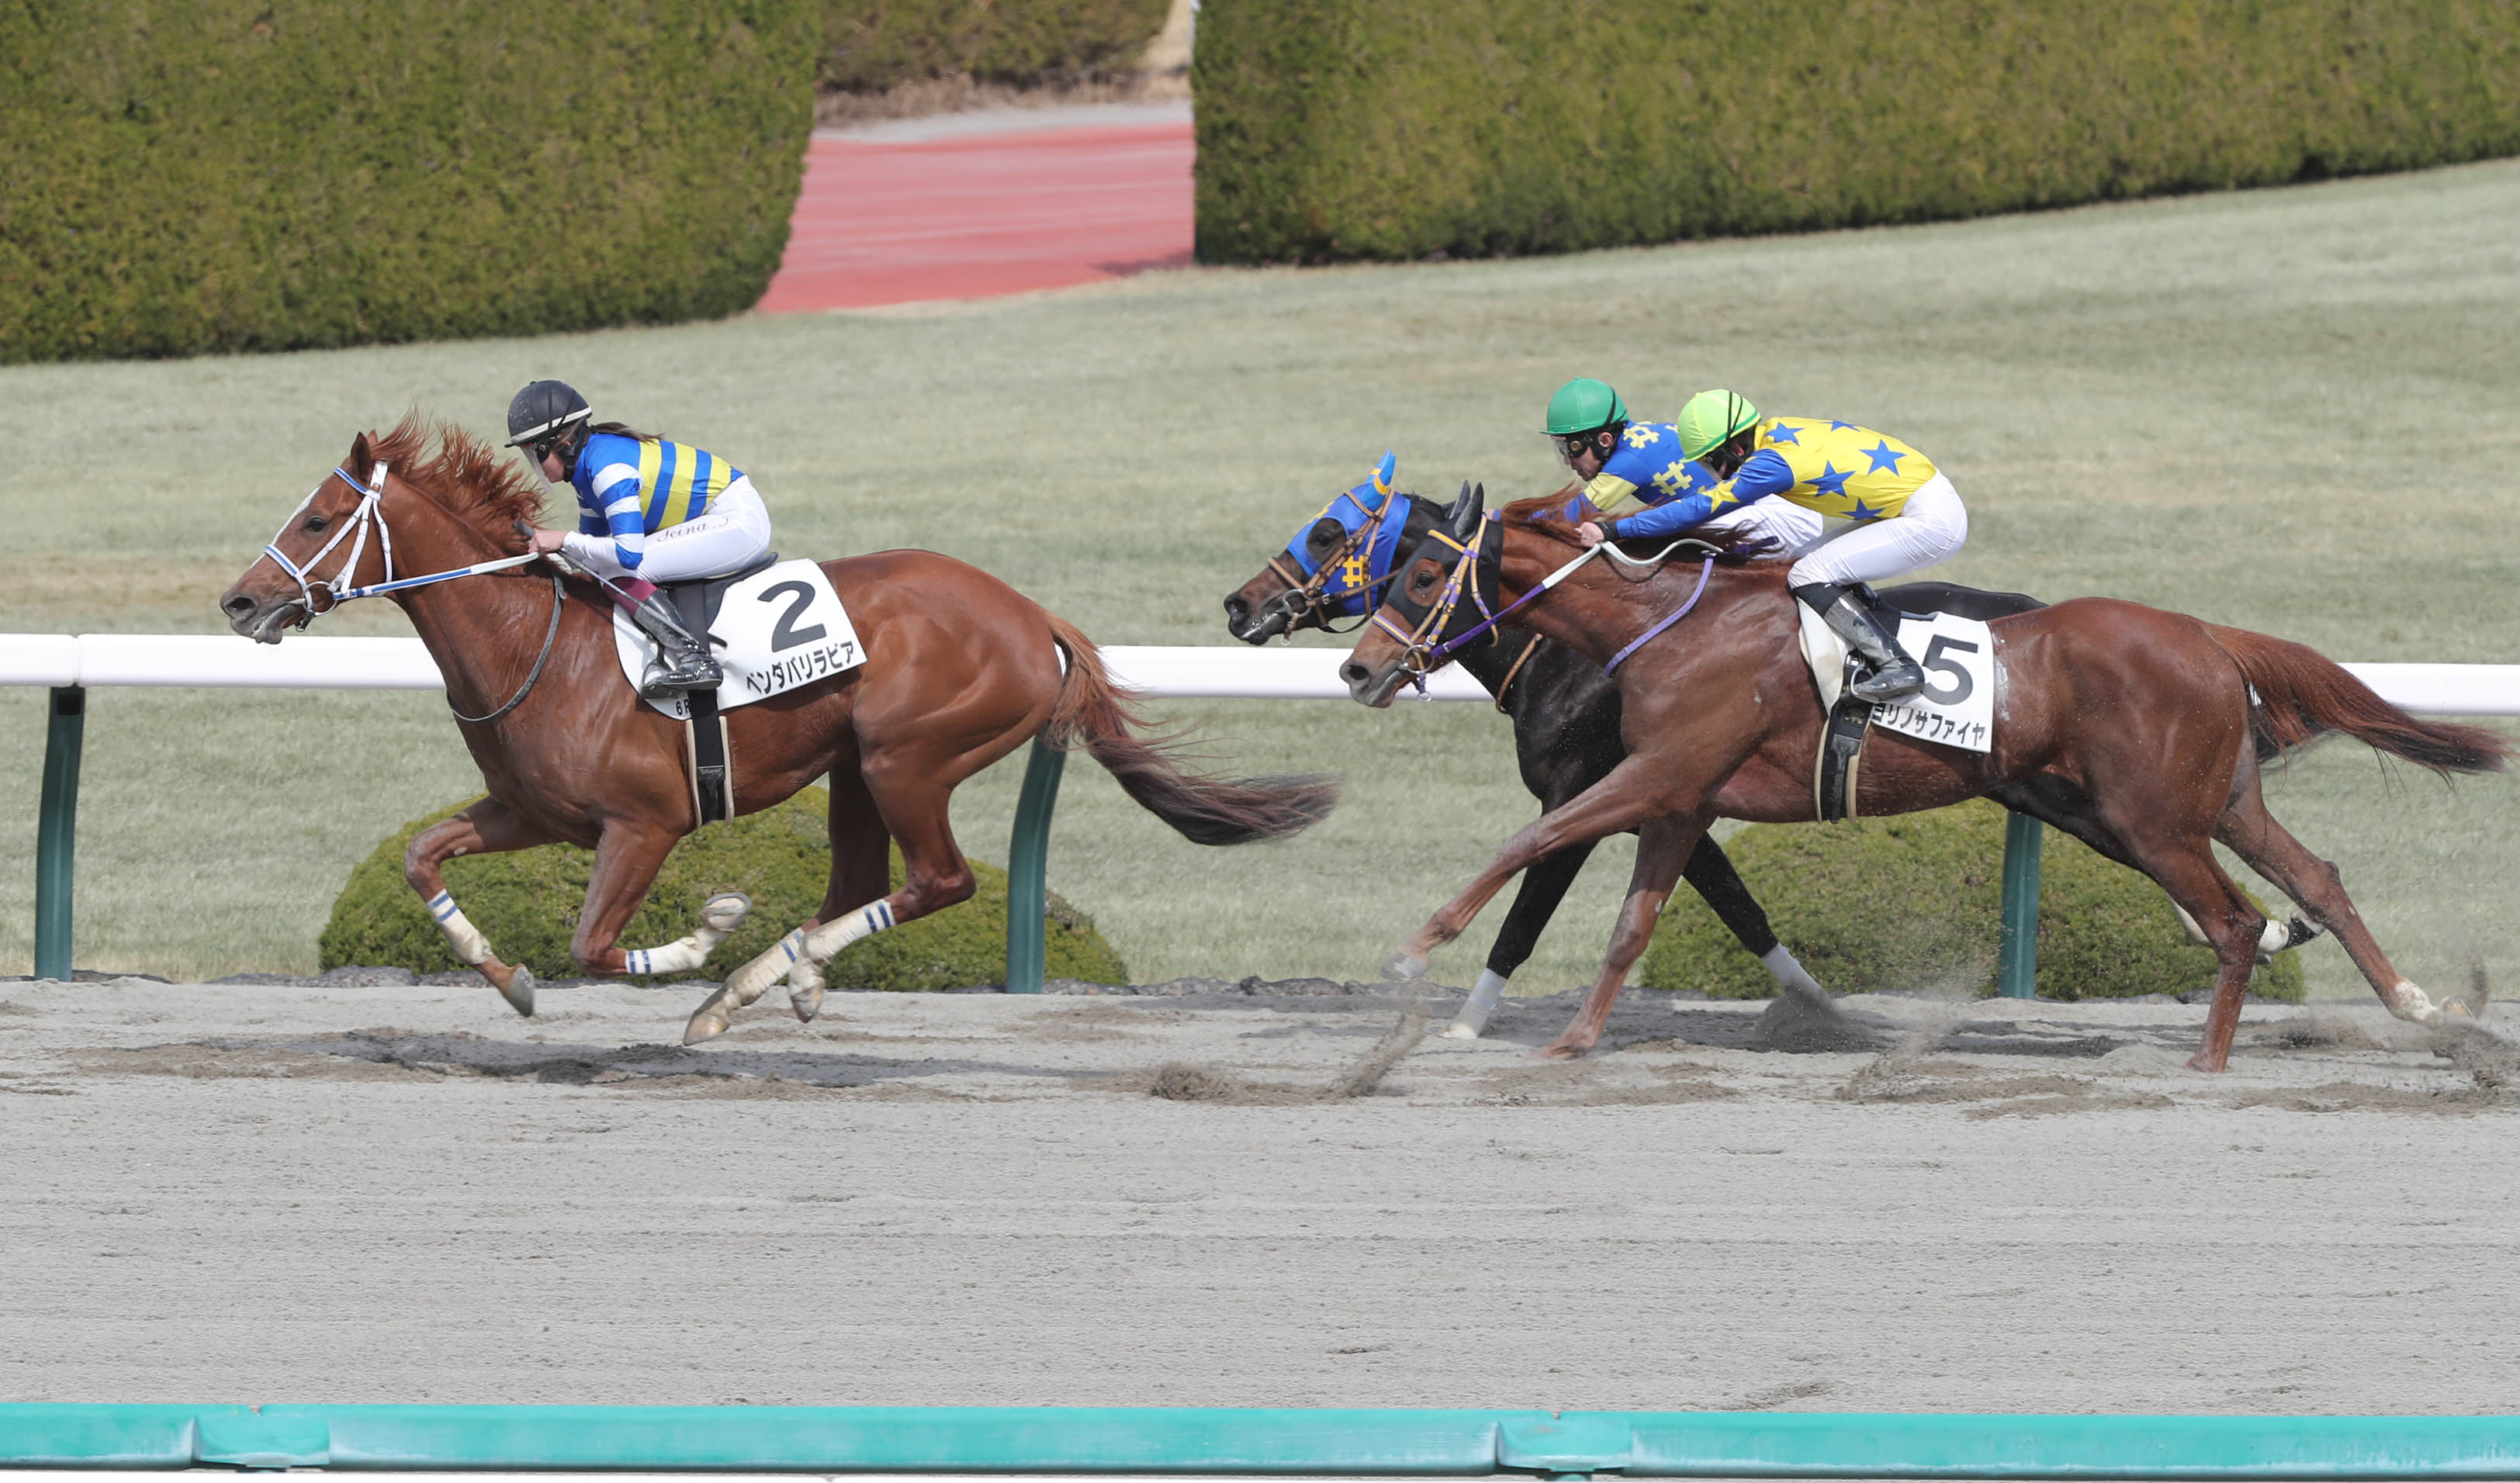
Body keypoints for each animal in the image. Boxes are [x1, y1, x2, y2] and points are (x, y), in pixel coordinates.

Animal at [219, 417, 1338, 1044]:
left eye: (316, 520)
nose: (240, 601)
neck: (533, 642)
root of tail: (1034, 618)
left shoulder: (643, 824)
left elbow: (594, 944)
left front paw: (701, 934)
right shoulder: (532, 812)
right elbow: (422, 860)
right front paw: (510, 983)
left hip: (907, 756)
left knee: (940, 882)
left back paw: (754, 980)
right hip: (854, 771)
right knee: (861, 884)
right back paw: (771, 983)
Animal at [1222, 470, 2047, 1036]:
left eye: (1329, 533)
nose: (1238, 605)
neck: (1576, 650)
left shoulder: (1591, 793)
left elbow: (1527, 910)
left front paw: (1465, 1019)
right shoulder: (1672, 795)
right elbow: (1738, 907)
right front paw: (1825, 1013)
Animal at [1337, 489, 2507, 1071]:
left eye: (1427, 571)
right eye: (1388, 569)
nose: (1356, 669)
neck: (1665, 624)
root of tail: (2207, 634)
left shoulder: (1655, 773)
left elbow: (1529, 842)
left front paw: (1413, 956)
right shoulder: (1681, 797)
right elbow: (1632, 924)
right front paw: (1575, 1040)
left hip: (2147, 816)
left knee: (2231, 920)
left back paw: (2207, 1066)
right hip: (2211, 801)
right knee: (2313, 882)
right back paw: (2422, 1009)